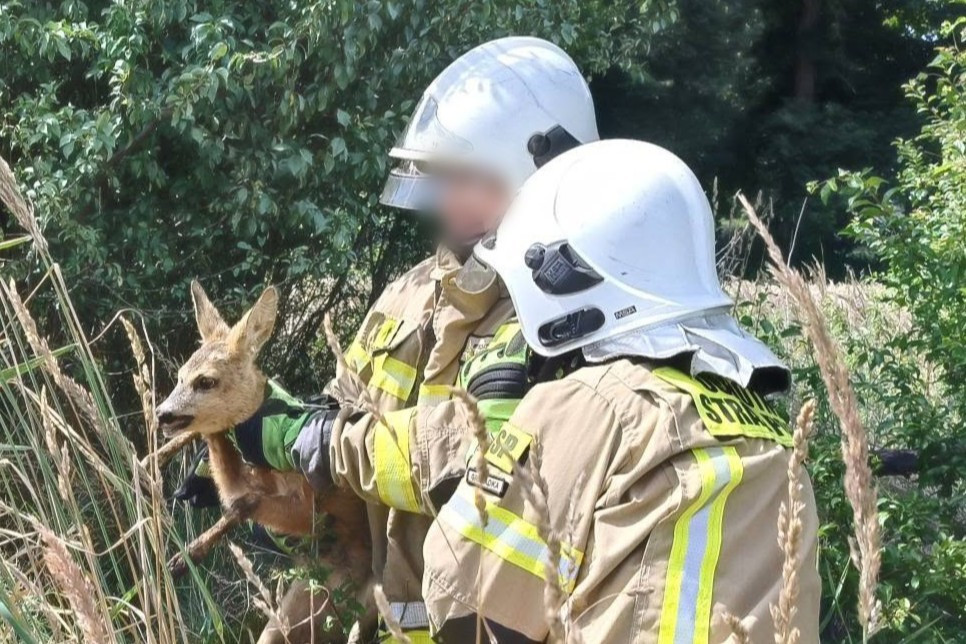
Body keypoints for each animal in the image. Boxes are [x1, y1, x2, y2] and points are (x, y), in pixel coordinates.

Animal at [156, 281, 374, 643]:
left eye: (206, 381)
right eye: (179, 376)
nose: (162, 414)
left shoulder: (307, 509)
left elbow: (242, 502)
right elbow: (232, 495)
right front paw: (186, 555)